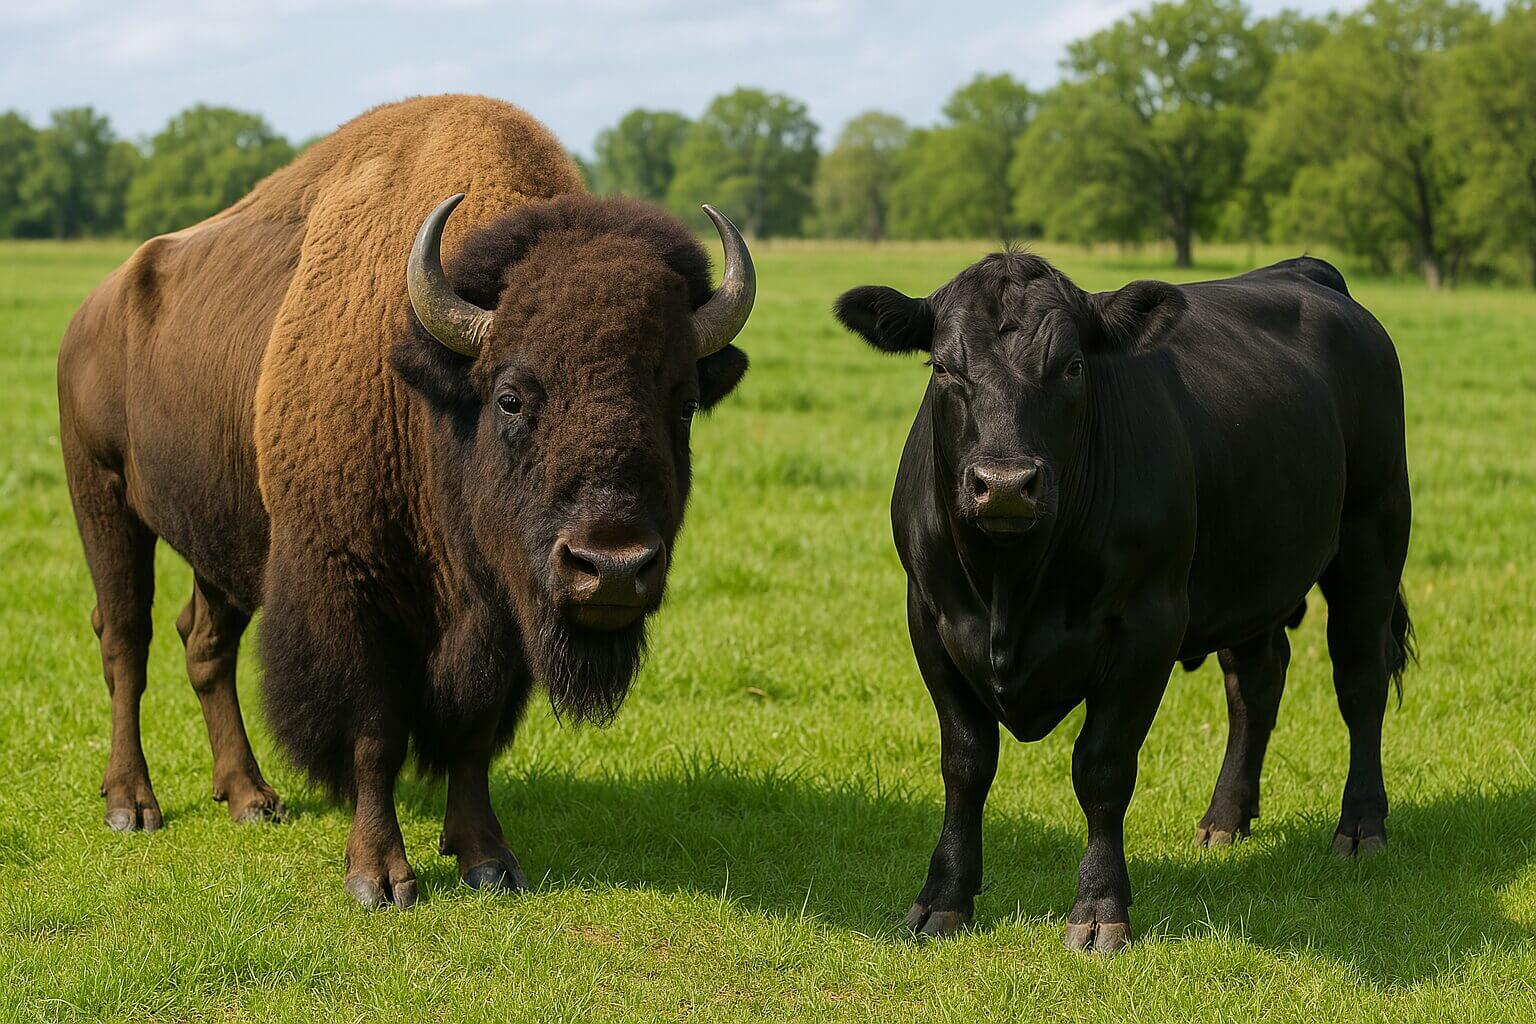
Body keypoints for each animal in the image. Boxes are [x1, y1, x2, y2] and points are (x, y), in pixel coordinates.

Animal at [57, 95, 754, 907]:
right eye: (511, 396)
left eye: (683, 405)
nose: (610, 567)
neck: (430, 396)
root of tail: (93, 309)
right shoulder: (349, 593)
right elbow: (375, 733)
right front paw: (380, 878)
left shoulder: (499, 611)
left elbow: (473, 733)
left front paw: (489, 861)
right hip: (103, 500)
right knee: (124, 639)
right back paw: (131, 805)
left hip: (222, 539)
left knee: (205, 643)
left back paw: (251, 799)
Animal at [835, 252, 1413, 952]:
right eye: (943, 367)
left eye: (1073, 366)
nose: (1005, 484)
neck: (1011, 583)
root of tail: (1305, 270)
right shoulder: (931, 617)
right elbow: (966, 763)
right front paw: (943, 897)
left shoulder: (1148, 625)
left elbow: (1103, 767)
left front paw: (1099, 906)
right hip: (1252, 569)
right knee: (1255, 683)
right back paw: (1226, 817)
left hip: (1373, 533)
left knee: (1360, 682)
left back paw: (1361, 826)